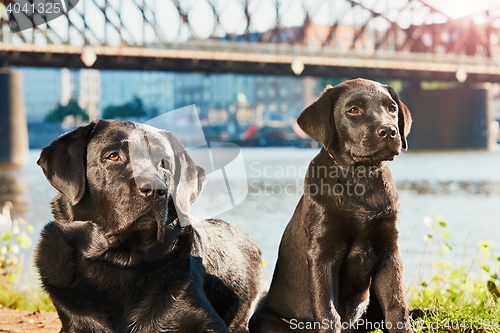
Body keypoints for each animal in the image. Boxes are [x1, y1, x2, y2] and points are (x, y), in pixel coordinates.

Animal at [250, 78, 414, 332]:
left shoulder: (389, 250)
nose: (389, 130)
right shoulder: (323, 252)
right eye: (353, 110)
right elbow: (327, 310)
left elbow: (397, 306)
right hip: (264, 319)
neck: (360, 178)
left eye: (392, 109)